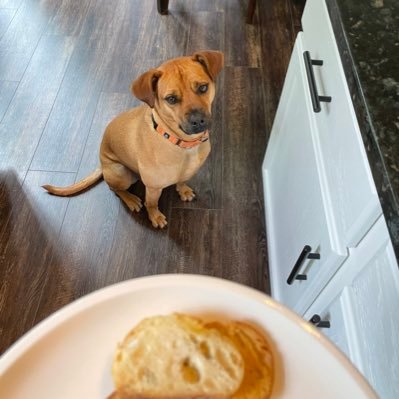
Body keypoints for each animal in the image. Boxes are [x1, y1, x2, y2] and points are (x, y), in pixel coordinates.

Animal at [44, 50, 225, 228]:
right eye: (171, 99)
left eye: (203, 87)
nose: (198, 121)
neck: (181, 143)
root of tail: (102, 164)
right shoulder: (153, 187)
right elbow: (151, 203)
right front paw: (155, 217)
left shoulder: (188, 171)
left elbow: (181, 181)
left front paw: (184, 190)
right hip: (121, 173)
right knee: (115, 189)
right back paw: (130, 199)